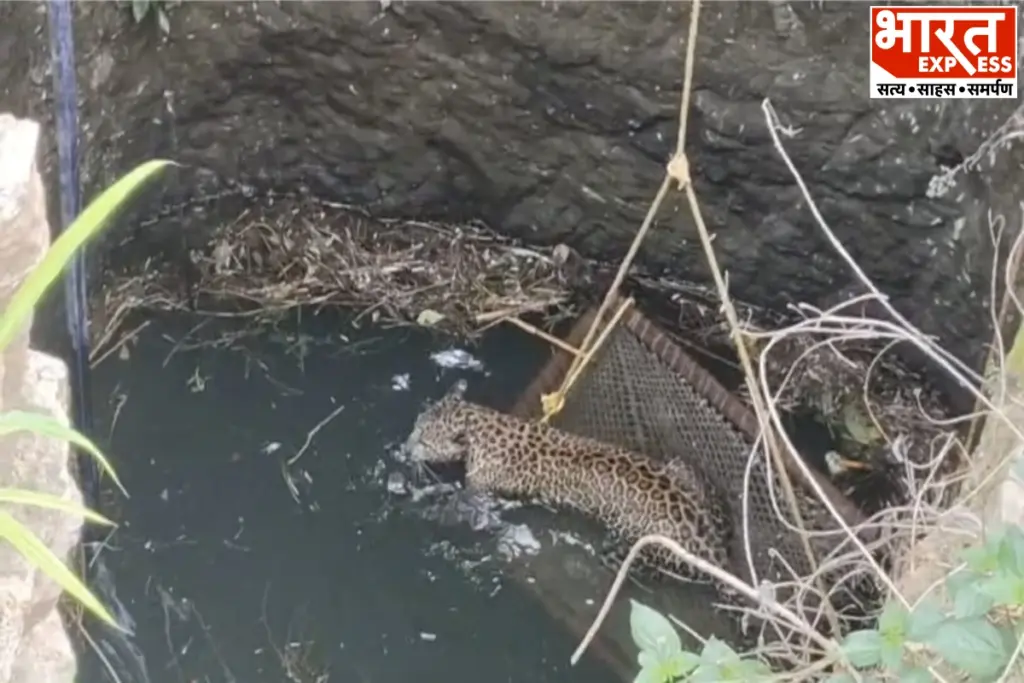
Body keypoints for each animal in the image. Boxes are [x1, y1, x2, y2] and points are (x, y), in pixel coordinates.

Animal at [404, 378, 736, 593]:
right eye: (415, 423)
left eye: (424, 440)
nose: (405, 449)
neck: (481, 424)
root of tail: (712, 548)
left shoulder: (480, 492)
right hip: (683, 469)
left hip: (636, 548)